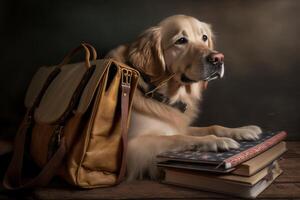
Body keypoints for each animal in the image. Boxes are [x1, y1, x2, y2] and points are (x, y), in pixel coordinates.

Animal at [106, 14, 262, 180]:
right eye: (181, 40)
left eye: (204, 37)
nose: (218, 58)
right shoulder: (131, 147)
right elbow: (177, 137)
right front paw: (217, 141)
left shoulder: (180, 125)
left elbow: (212, 127)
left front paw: (242, 130)